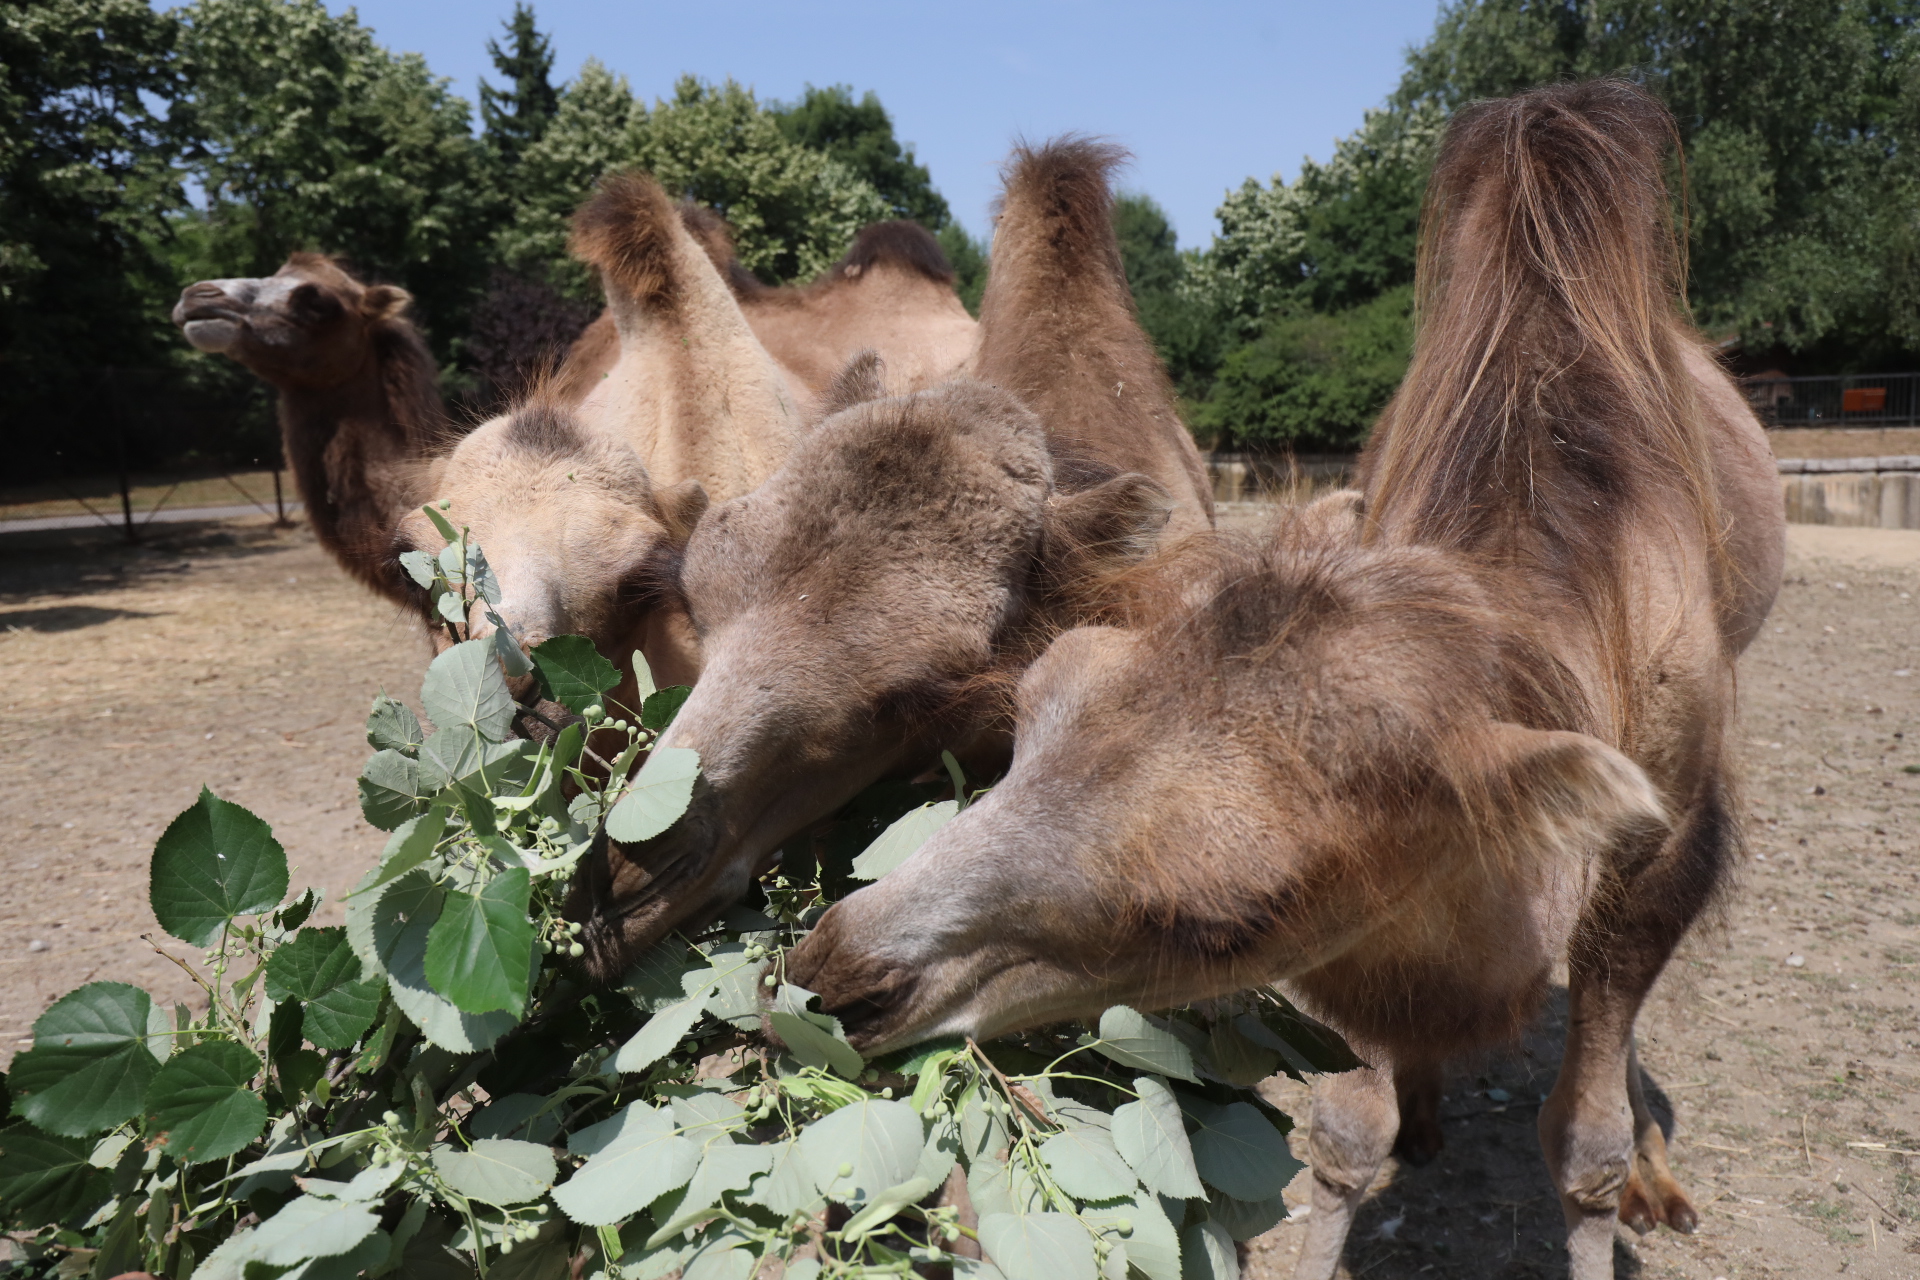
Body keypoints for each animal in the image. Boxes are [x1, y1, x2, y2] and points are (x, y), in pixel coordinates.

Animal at [779, 82, 1781, 1280]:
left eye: (1227, 919)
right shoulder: (1385, 876)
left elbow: (1582, 1142)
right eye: (1037, 706)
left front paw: (1620, 1169)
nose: (839, 971)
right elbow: (1346, 1131)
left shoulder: (1654, 832)